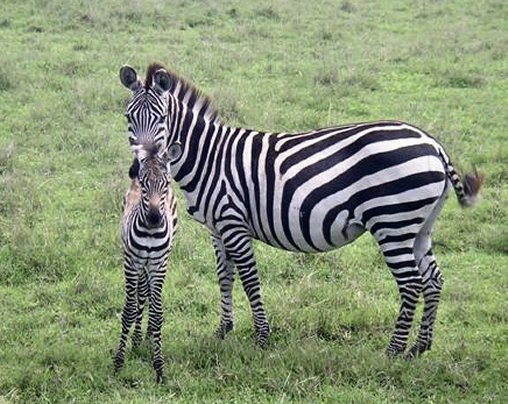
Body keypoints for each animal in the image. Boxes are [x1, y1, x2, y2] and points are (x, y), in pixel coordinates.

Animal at [114, 144, 178, 382]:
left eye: (166, 183)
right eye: (144, 184)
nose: (154, 218)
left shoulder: (159, 264)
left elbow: (158, 312)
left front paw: (159, 367)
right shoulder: (132, 262)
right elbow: (129, 310)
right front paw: (118, 363)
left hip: (156, 262)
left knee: (148, 293)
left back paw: (148, 335)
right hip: (139, 264)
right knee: (141, 293)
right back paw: (138, 338)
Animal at [118, 64, 484, 360]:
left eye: (162, 119)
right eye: (128, 118)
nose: (139, 167)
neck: (210, 156)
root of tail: (433, 145)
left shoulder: (234, 222)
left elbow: (249, 278)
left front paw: (262, 337)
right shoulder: (217, 227)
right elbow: (225, 276)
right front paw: (223, 330)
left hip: (393, 223)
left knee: (411, 284)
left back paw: (393, 351)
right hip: (417, 226)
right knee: (433, 279)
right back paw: (420, 347)